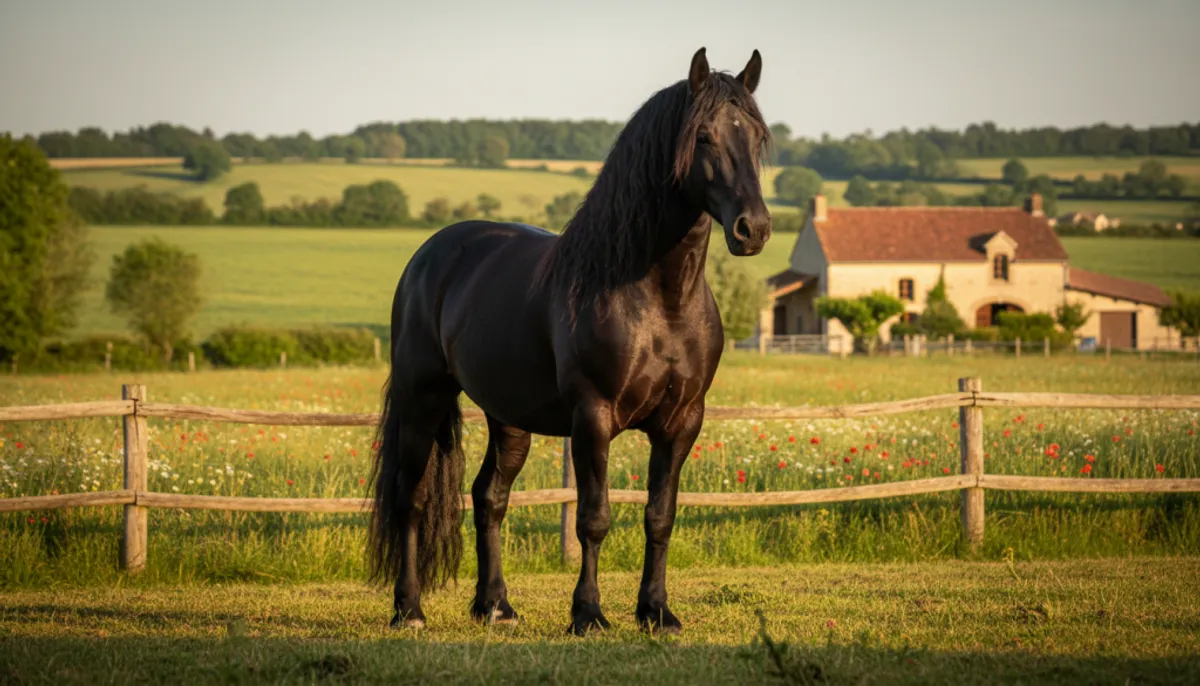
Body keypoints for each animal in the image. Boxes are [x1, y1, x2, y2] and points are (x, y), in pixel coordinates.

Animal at [367, 47, 772, 636]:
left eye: (758, 137)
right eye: (703, 136)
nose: (753, 229)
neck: (657, 296)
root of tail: (431, 253)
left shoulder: (682, 423)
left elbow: (660, 516)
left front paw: (656, 612)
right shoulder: (593, 418)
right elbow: (593, 518)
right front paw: (588, 614)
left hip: (508, 417)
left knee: (489, 496)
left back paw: (496, 606)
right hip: (424, 401)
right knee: (412, 499)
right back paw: (410, 610)